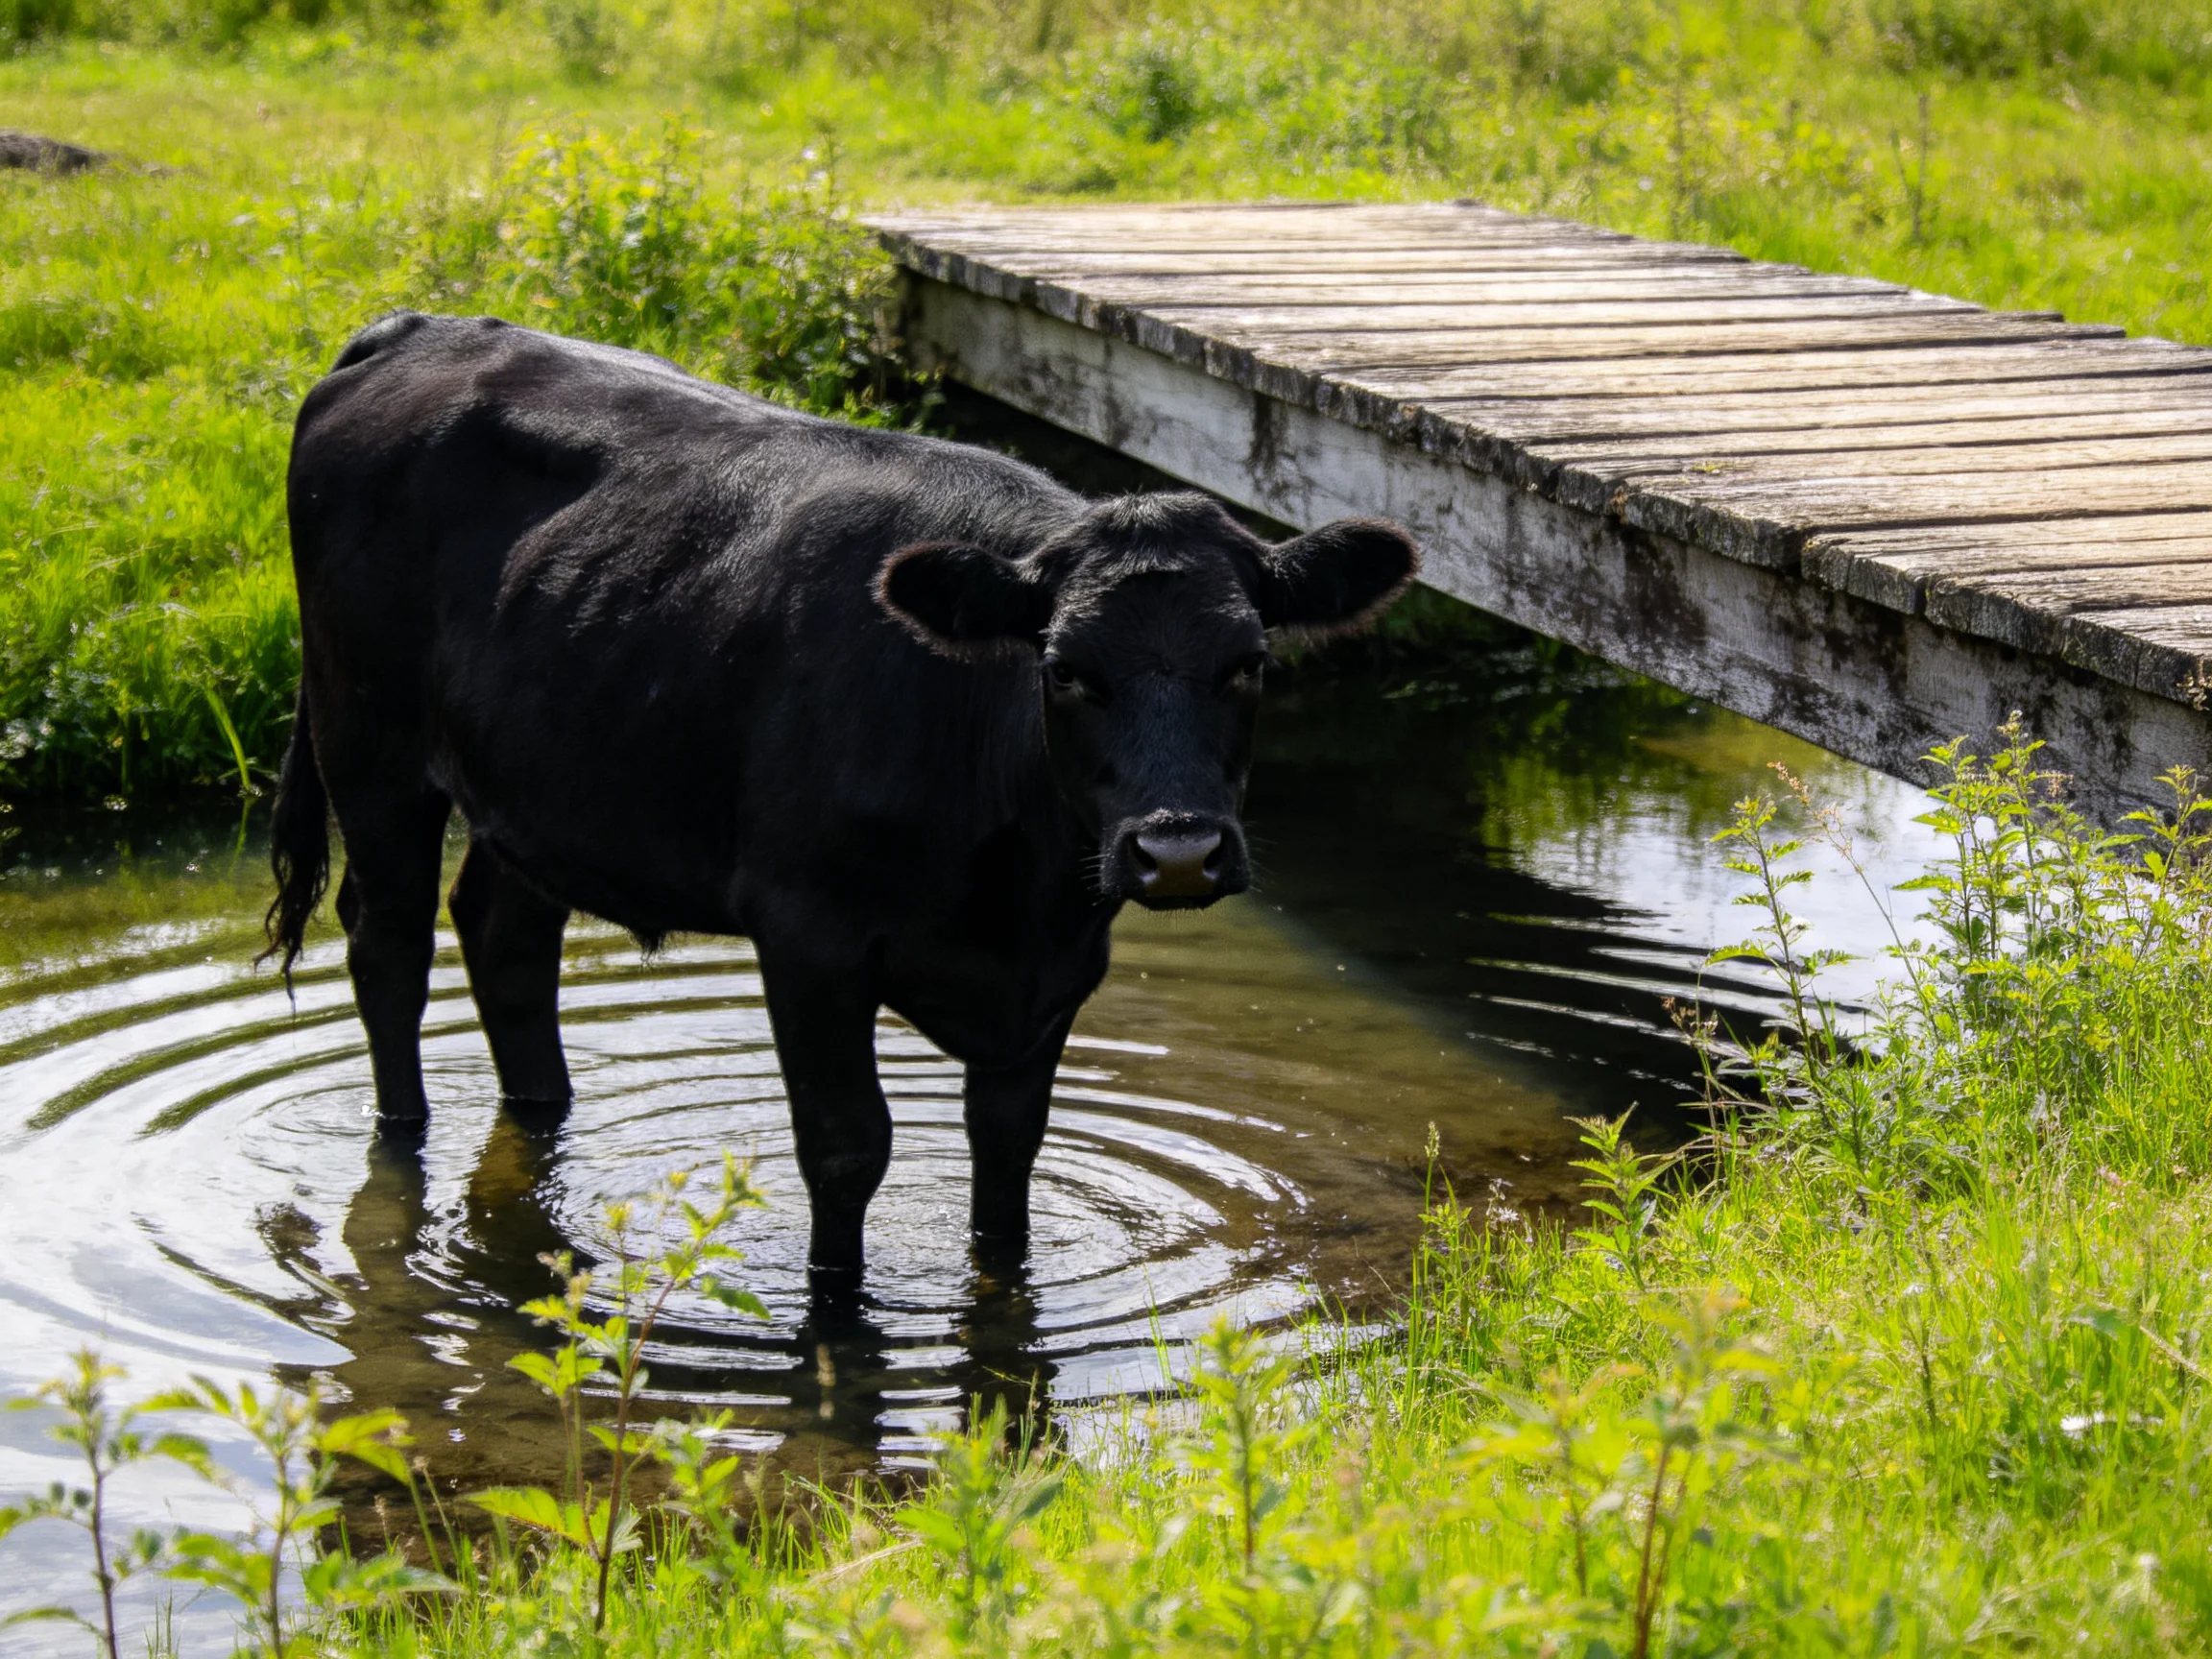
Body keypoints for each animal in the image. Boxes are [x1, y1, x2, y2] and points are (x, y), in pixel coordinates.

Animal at [265, 312, 1418, 1286]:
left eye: (1251, 663)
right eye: (1064, 670)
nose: (1177, 851)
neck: (1016, 897)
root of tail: (419, 329)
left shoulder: (1056, 972)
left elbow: (1009, 1153)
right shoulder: (807, 934)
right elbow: (846, 1146)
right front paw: (835, 1308)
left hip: (537, 782)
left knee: (504, 934)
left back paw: (543, 1114)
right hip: (369, 750)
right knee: (388, 946)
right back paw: (401, 1137)